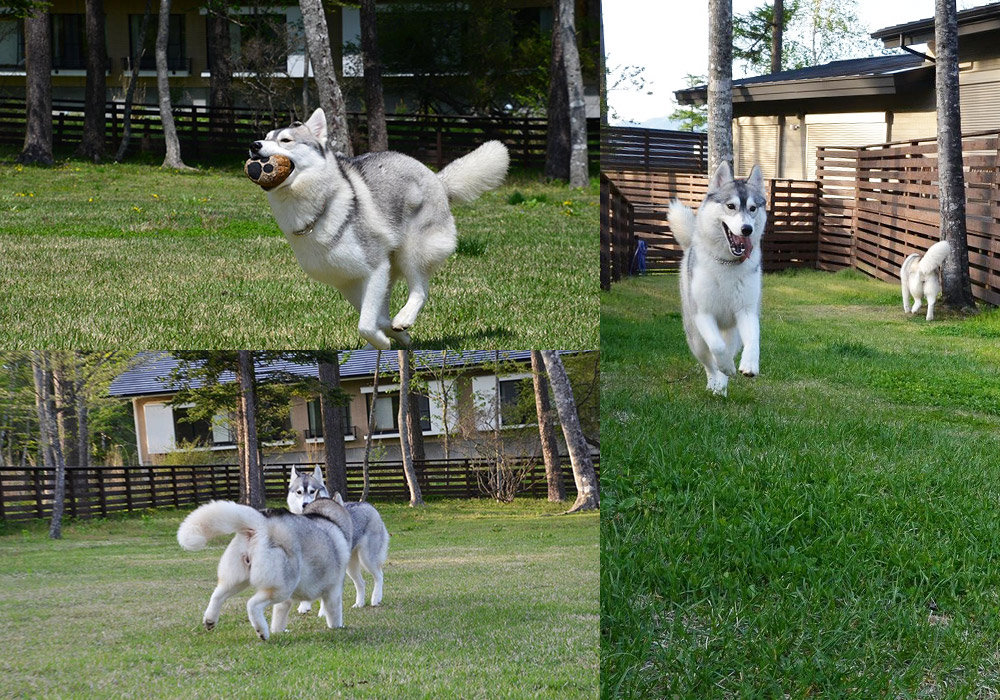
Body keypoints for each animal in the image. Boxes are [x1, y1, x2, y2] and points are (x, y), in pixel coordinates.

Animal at [176, 498, 352, 640]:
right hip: (282, 587)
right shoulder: (334, 590)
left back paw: (210, 619)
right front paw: (338, 627)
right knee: (252, 604)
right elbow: (334, 612)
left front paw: (279, 631)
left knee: (217, 595)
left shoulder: (286, 602)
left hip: (237, 579)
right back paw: (262, 631)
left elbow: (279, 614)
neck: (329, 518)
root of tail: (262, 523)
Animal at [249, 108, 512, 348]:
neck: (320, 207)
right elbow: (375, 316)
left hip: (412, 252)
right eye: (266, 136)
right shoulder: (347, 281)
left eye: (285, 140)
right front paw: (392, 337)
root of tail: (436, 178)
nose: (254, 145)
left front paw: (385, 340)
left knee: (420, 290)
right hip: (390, 268)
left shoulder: (376, 267)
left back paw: (403, 318)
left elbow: (367, 324)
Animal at [286, 468, 390, 608]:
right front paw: (304, 607)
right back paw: (359, 603)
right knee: (361, 583)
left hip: (367, 559)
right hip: (351, 566)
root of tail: (368, 505)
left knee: (379, 575)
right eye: (299, 492)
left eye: (312, 491)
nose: (305, 504)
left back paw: (376, 598)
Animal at [668, 161, 768, 396]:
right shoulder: (703, 314)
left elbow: (754, 340)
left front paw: (749, 365)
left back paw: (722, 383)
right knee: (709, 361)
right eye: (731, 206)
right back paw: (715, 382)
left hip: (732, 332)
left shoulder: (746, 311)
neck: (727, 264)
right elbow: (716, 347)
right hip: (695, 337)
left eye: (753, 208)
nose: (747, 229)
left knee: (729, 348)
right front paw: (725, 368)